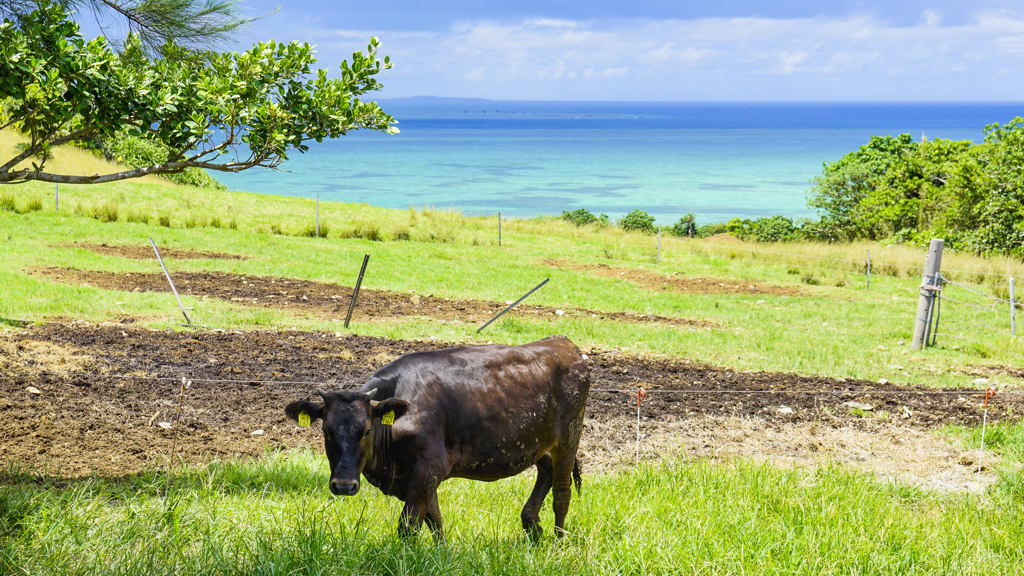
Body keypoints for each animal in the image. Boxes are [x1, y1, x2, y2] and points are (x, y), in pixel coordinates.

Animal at [288, 334, 593, 537]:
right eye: (326, 431)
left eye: (366, 431)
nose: (343, 485)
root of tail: (563, 343)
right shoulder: (423, 477)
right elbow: (435, 520)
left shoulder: (427, 469)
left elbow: (409, 525)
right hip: (538, 442)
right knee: (546, 473)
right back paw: (533, 530)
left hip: (569, 438)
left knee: (562, 492)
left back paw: (558, 543)